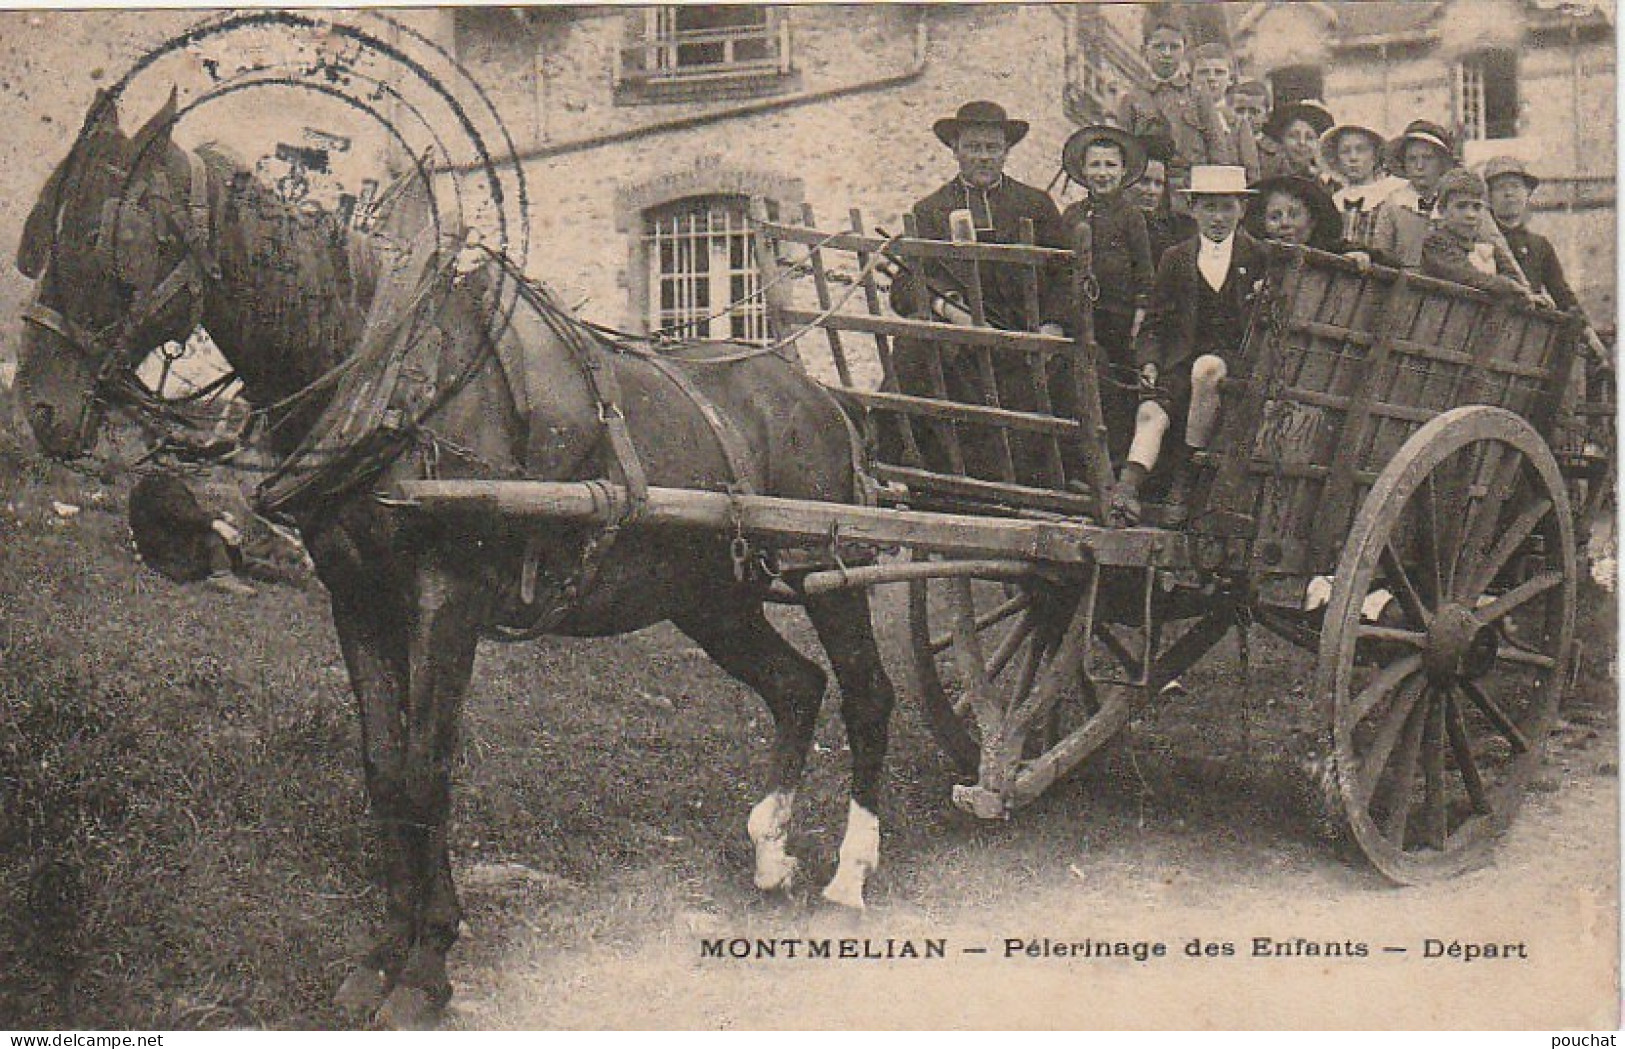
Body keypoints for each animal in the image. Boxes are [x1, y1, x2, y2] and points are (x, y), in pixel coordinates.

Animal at [12, 88, 897, 1026]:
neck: (386, 380)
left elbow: (428, 765)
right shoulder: (356, 595)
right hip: (706, 594)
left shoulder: (450, 595)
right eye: (42, 235)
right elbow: (383, 765)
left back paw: (848, 876)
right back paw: (769, 852)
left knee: (866, 693)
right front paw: (382, 952)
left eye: (105, 238)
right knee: (794, 685)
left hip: (826, 570)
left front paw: (428, 964)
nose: (37, 404)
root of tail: (817, 393)